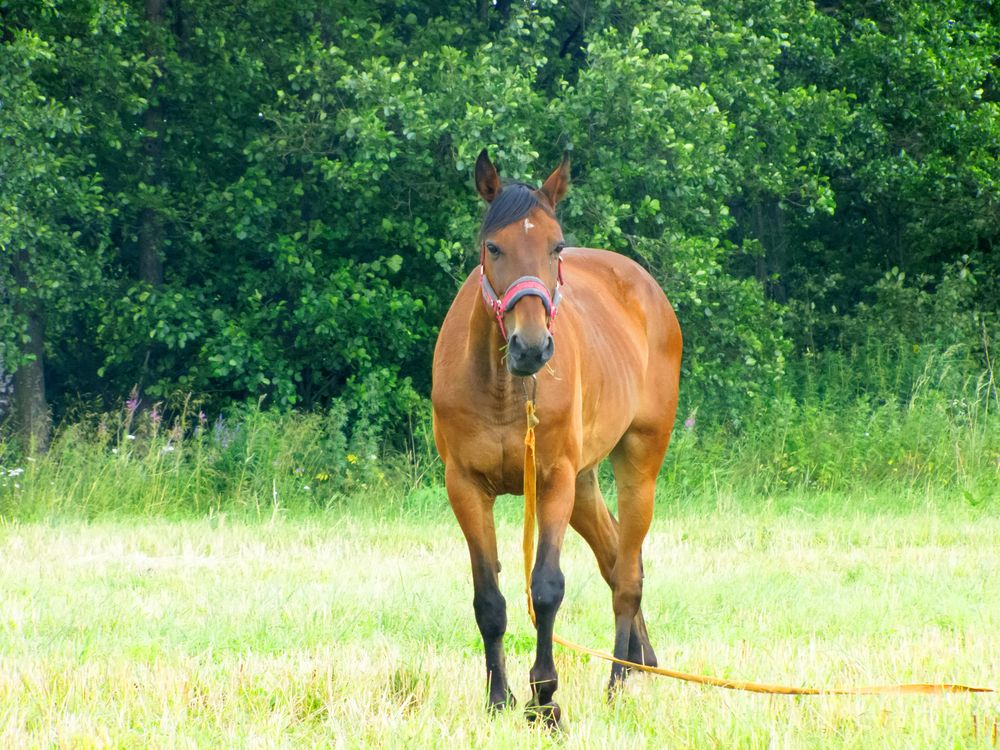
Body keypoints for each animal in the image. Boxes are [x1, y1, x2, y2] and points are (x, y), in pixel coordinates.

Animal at [431, 150, 682, 724]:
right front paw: (498, 698)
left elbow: (545, 589)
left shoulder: (553, 482)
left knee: (628, 573)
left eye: (556, 245)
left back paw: (617, 680)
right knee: (615, 558)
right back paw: (640, 662)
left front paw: (544, 699)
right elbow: (489, 599)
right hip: (586, 483)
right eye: (493, 246)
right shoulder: (465, 487)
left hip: (637, 463)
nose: (531, 346)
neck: (505, 386)